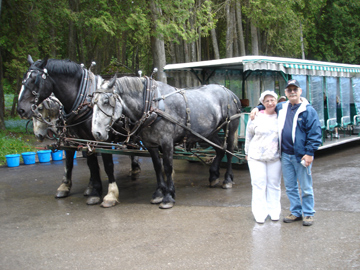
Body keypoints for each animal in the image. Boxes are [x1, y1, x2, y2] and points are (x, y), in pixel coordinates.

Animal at [17, 54, 141, 207]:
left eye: (35, 80)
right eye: (23, 79)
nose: (21, 110)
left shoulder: (102, 139)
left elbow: (107, 165)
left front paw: (110, 194)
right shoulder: (81, 139)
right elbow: (85, 164)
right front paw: (92, 190)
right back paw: (134, 169)